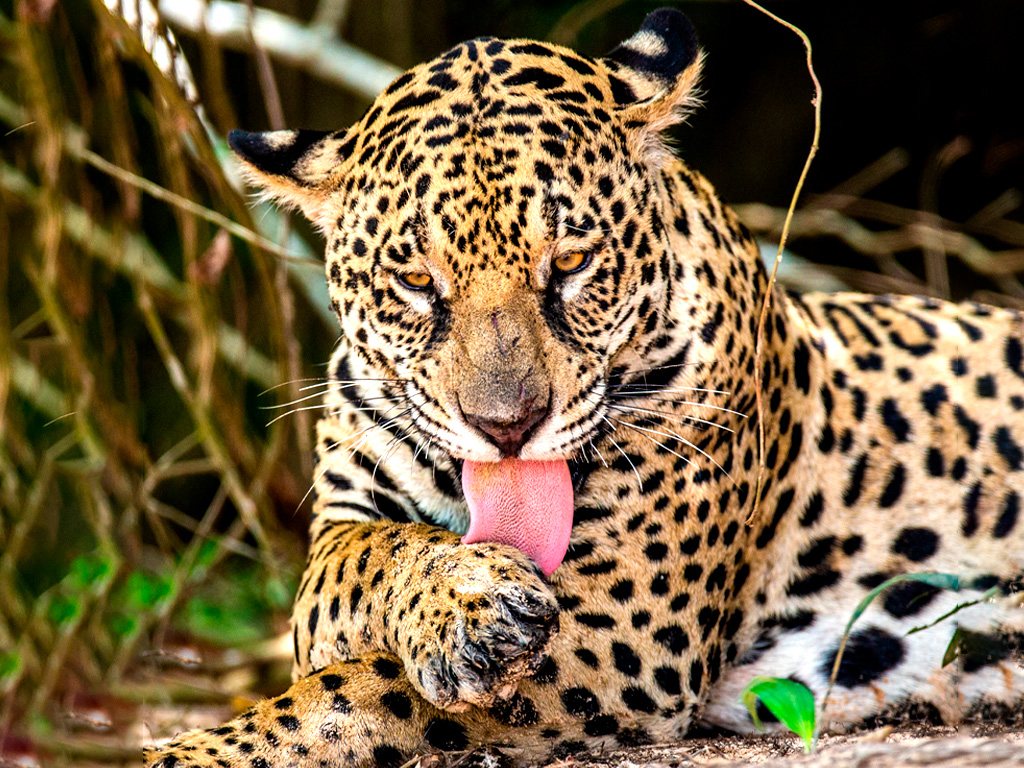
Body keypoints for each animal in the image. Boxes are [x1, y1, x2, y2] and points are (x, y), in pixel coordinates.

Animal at [144, 9, 1024, 768]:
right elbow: (351, 572)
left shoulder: (618, 631)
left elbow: (344, 701)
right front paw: (466, 600)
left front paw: (193, 754)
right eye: (417, 280)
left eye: (570, 262)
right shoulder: (343, 519)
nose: (506, 425)